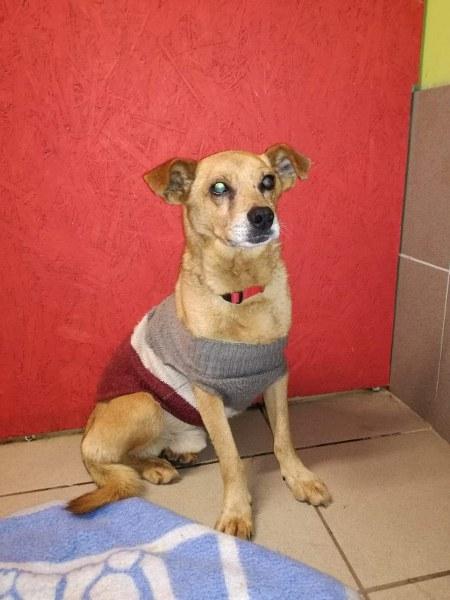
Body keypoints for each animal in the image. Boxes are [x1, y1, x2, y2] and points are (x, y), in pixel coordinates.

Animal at [68, 143, 331, 539]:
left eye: (268, 181)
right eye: (219, 188)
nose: (263, 217)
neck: (240, 295)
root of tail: (89, 428)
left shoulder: (276, 375)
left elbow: (283, 437)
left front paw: (298, 478)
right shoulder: (208, 392)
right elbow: (232, 459)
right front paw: (237, 510)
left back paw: (175, 455)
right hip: (145, 403)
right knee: (114, 458)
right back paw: (155, 467)